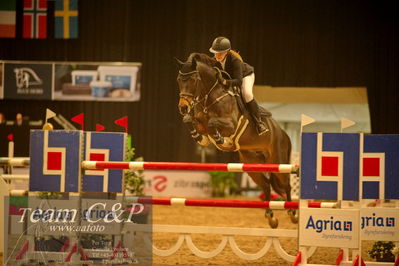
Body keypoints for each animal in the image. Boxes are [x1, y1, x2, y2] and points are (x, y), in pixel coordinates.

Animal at [177, 53, 298, 228]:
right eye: (179, 80)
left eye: (193, 80)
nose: (183, 107)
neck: (211, 98)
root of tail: (283, 133)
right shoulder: (198, 120)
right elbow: (189, 121)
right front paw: (201, 138)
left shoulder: (230, 124)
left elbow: (213, 124)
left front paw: (221, 140)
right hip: (252, 164)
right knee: (266, 185)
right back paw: (271, 217)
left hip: (278, 160)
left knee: (286, 184)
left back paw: (293, 213)